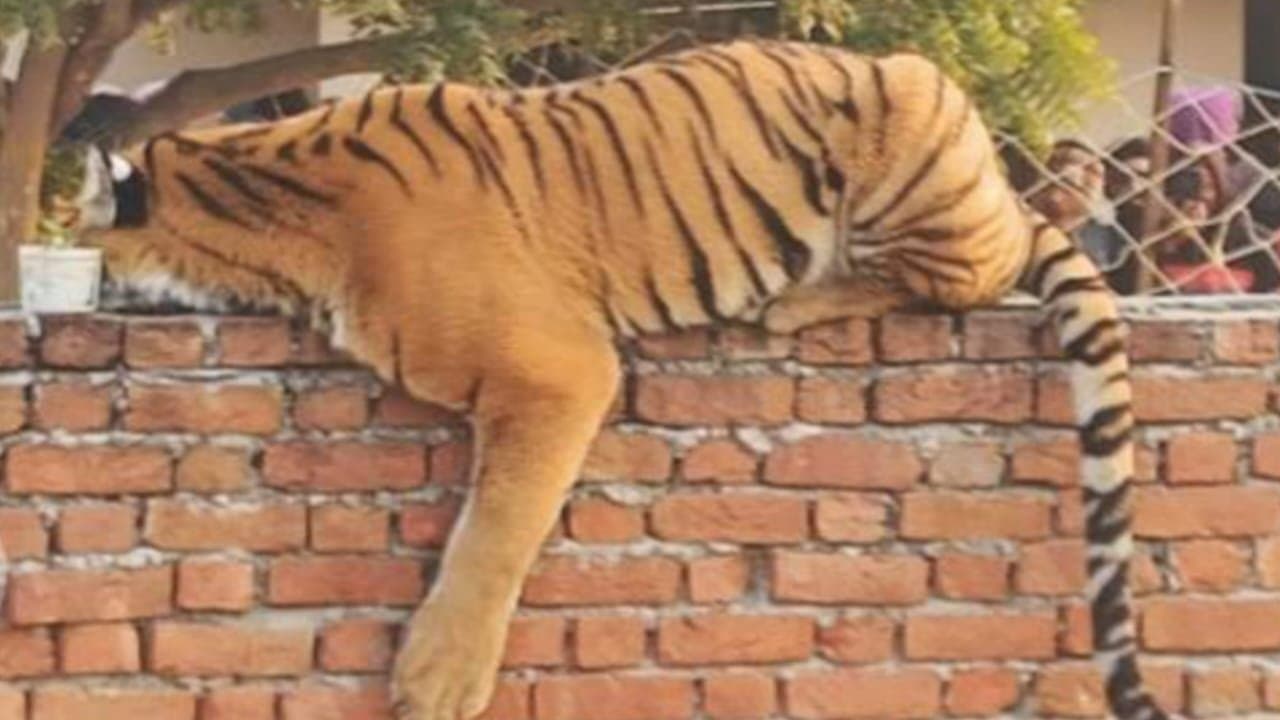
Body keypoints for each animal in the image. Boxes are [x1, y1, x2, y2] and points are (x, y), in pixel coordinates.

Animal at [75, 39, 1165, 720]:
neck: (260, 197)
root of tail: (1004, 188)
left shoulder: (557, 369)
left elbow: (496, 529)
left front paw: (438, 679)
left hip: (912, 128)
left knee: (969, 275)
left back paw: (797, 300)